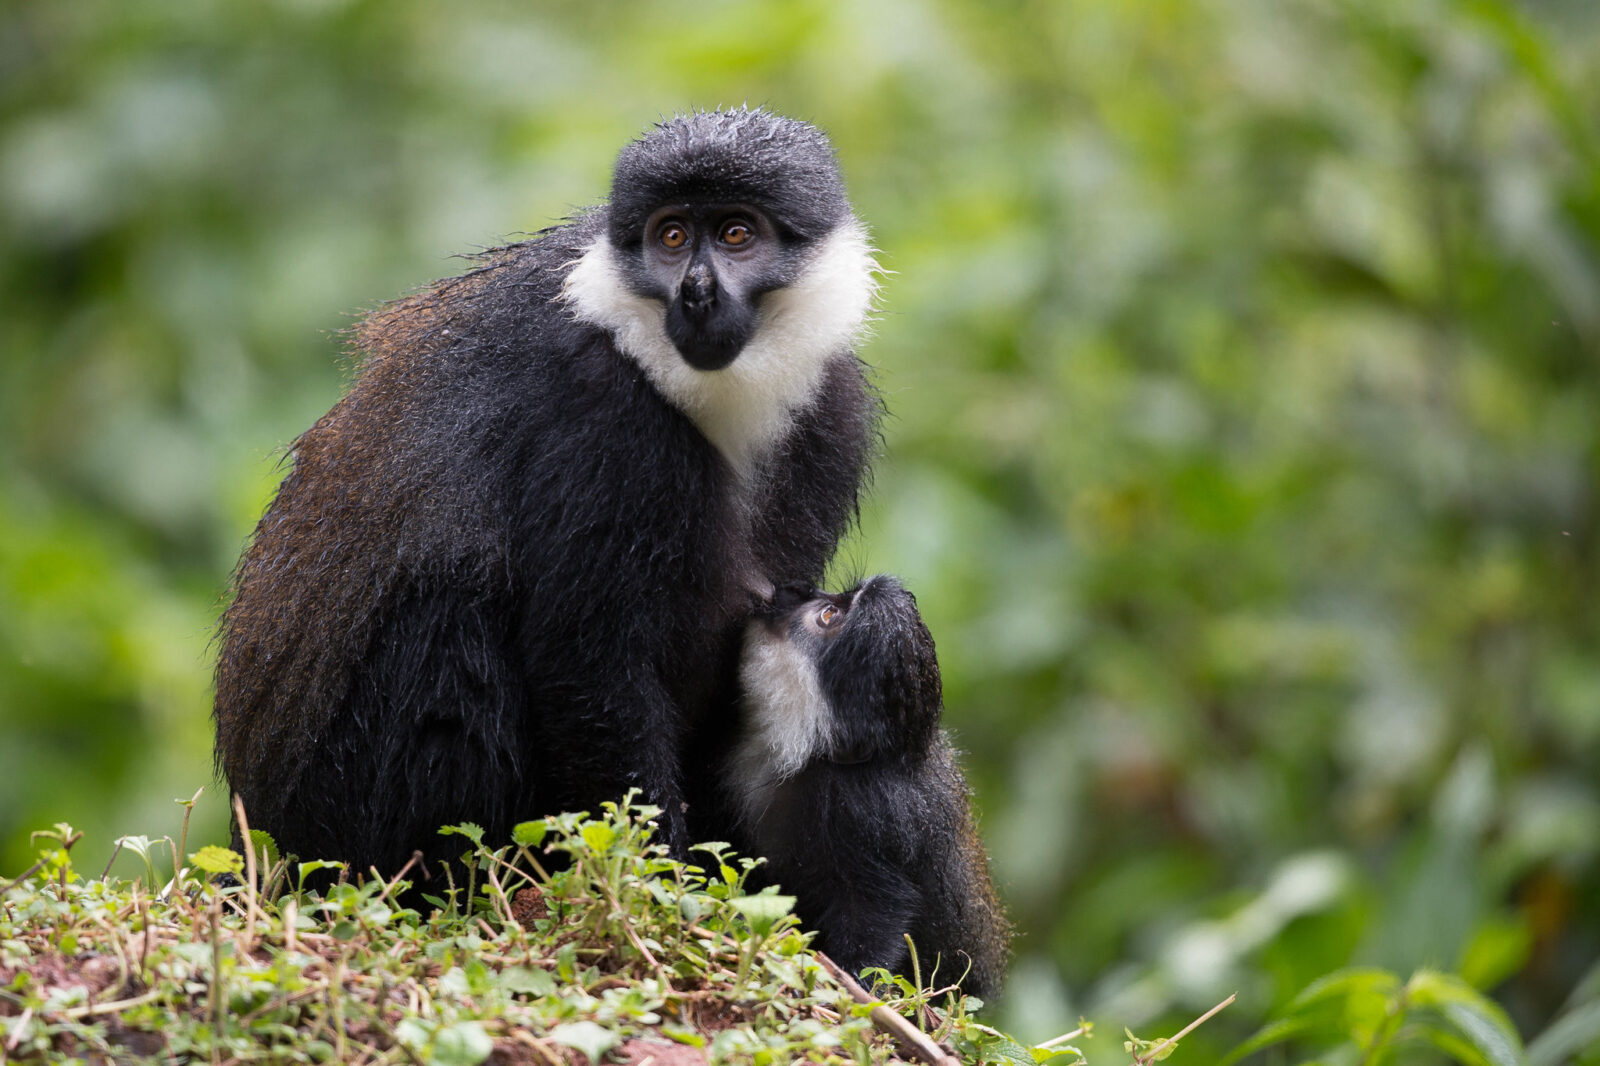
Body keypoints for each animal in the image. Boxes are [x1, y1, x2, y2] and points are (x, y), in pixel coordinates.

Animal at [213, 108, 881, 889]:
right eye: (671, 237)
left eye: (737, 234)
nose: (696, 292)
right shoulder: (601, 408)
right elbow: (587, 666)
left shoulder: (831, 408)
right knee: (449, 615)